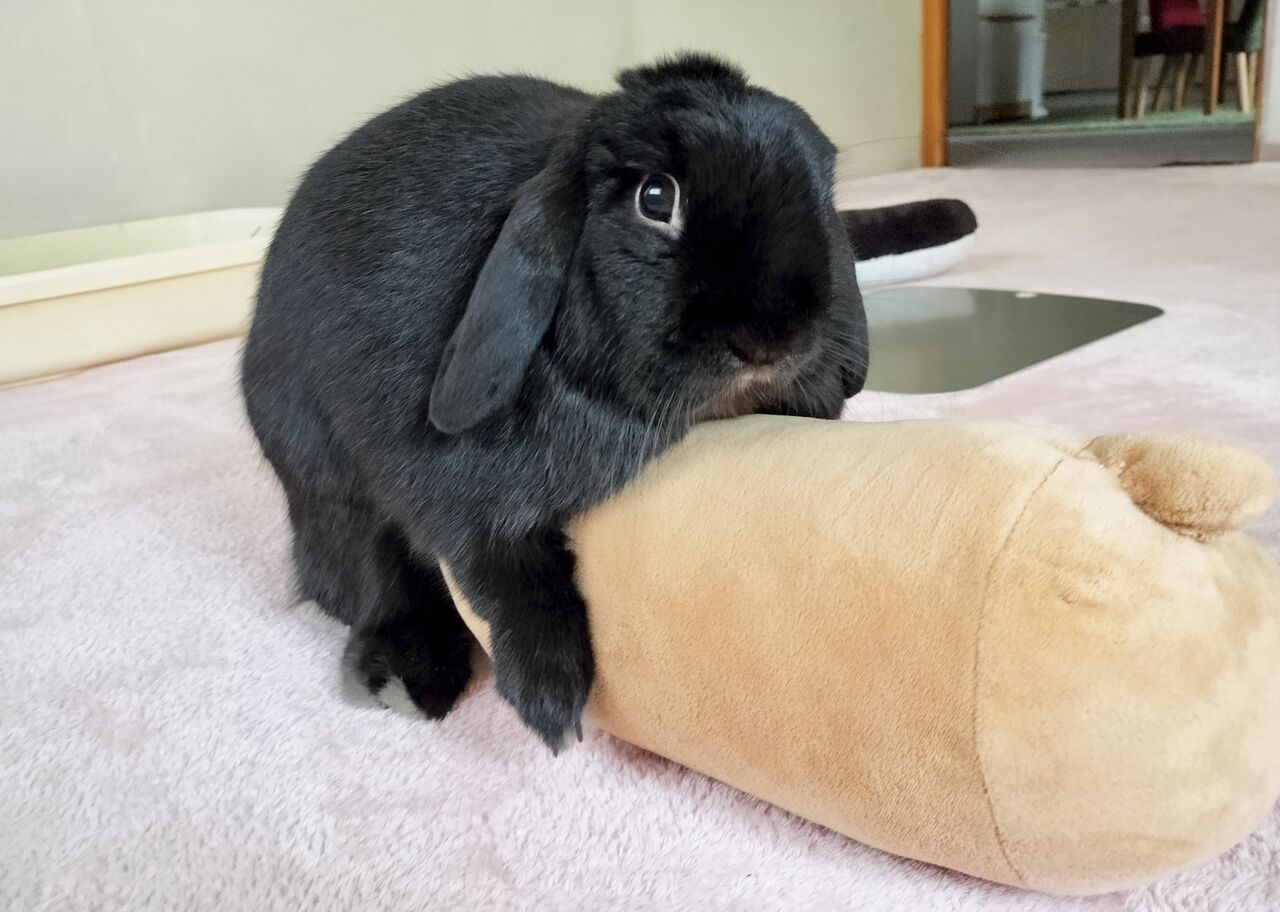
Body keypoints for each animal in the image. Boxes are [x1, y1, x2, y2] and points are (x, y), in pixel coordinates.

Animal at [241, 53, 869, 751]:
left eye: (822, 193)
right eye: (656, 198)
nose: (772, 340)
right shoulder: (456, 498)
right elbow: (504, 567)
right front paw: (550, 695)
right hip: (329, 492)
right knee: (374, 580)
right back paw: (405, 679)